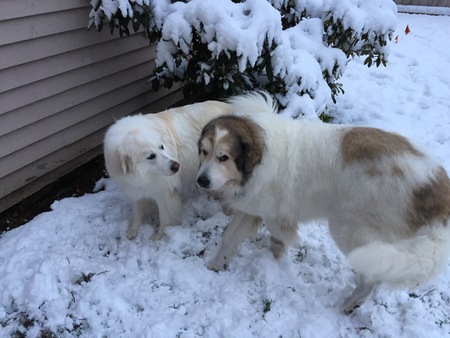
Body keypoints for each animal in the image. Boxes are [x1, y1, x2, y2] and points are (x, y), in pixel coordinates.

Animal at [104, 100, 232, 240]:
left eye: (162, 147)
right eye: (151, 156)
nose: (177, 166)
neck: (142, 176)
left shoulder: (164, 194)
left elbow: (164, 217)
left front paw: (159, 235)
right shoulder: (135, 191)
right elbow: (137, 212)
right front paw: (132, 231)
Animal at [196, 92, 450, 314]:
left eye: (223, 157)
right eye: (204, 152)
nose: (201, 180)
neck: (260, 158)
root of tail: (435, 187)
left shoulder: (274, 212)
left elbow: (278, 234)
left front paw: (277, 253)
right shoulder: (253, 206)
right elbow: (230, 236)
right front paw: (217, 263)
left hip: (347, 227)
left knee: (371, 278)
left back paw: (351, 304)